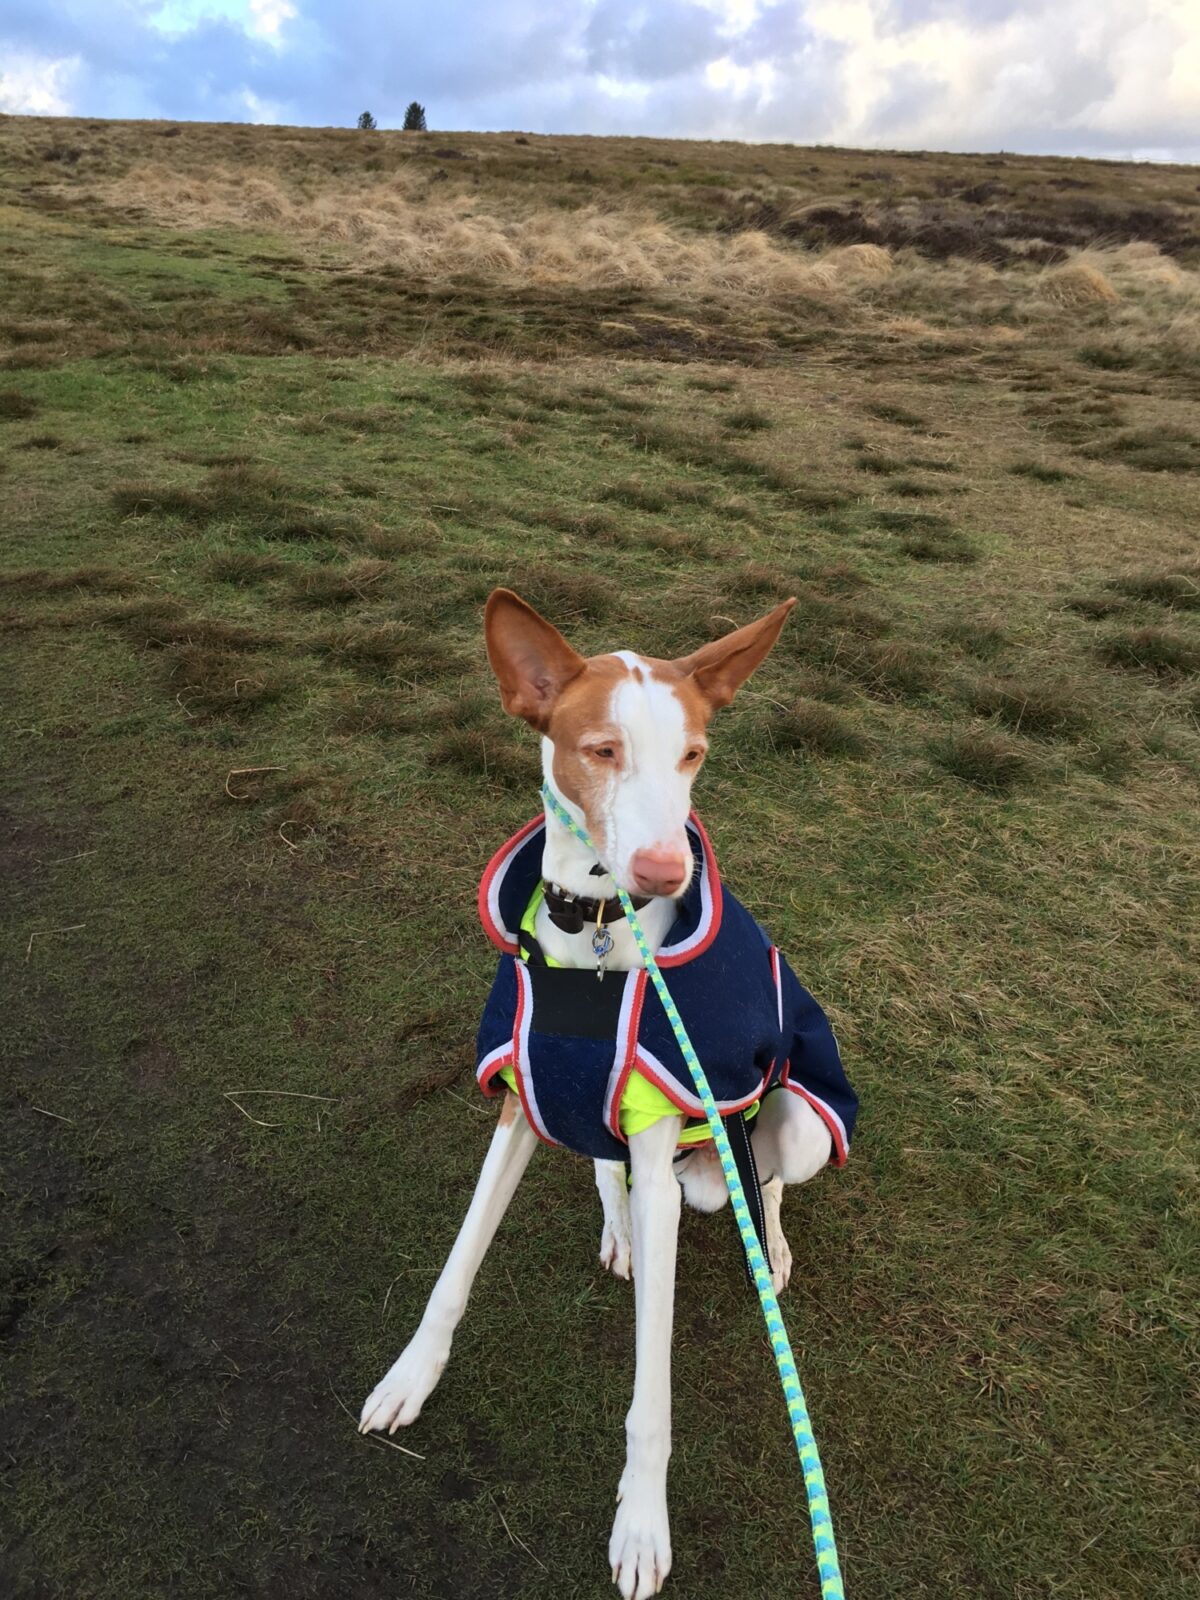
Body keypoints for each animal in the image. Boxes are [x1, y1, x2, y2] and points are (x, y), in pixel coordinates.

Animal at [361, 592, 857, 1600]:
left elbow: (650, 1399)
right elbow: (454, 1271)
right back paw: (619, 1229)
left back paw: (769, 1243)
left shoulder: (665, 1151)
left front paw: (640, 1524)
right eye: (599, 750)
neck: (596, 933)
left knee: (765, 1175)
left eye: (694, 754)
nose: (666, 872)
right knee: (607, 1171)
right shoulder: (518, 1104)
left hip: (794, 1124)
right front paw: (409, 1378)